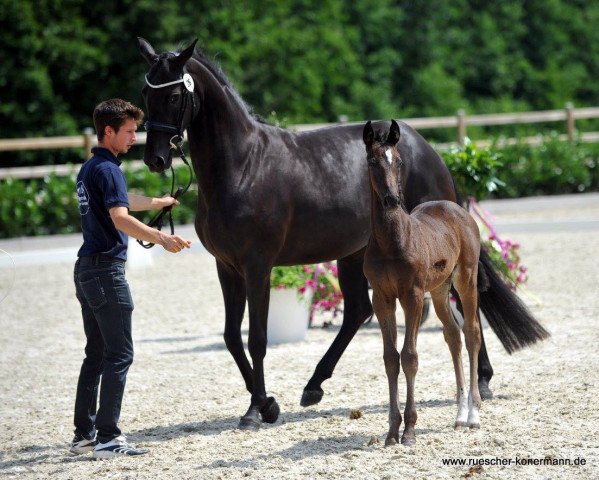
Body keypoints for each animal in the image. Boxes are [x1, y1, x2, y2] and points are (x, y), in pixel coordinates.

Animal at [364, 120, 486, 446]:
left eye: (399, 161)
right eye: (372, 162)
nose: (392, 200)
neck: (391, 242)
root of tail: (455, 208)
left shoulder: (413, 296)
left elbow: (409, 357)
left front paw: (409, 430)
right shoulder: (381, 298)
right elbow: (390, 359)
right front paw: (391, 431)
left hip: (465, 279)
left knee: (472, 333)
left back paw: (473, 415)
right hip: (440, 290)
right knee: (453, 336)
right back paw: (459, 415)